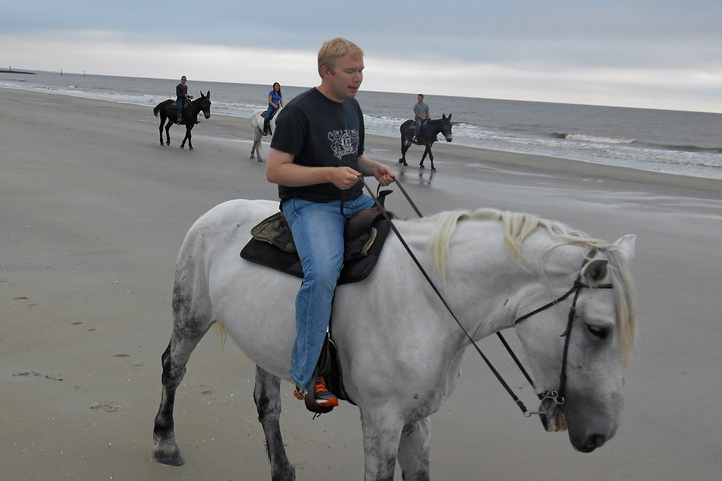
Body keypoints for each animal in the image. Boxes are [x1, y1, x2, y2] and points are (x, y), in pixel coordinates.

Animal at [153, 198, 637, 480]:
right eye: (598, 330)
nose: (602, 434)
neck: (428, 301)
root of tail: (218, 211)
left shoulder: (417, 419)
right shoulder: (382, 420)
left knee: (267, 406)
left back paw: (283, 469)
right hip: (192, 314)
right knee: (173, 370)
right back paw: (165, 442)